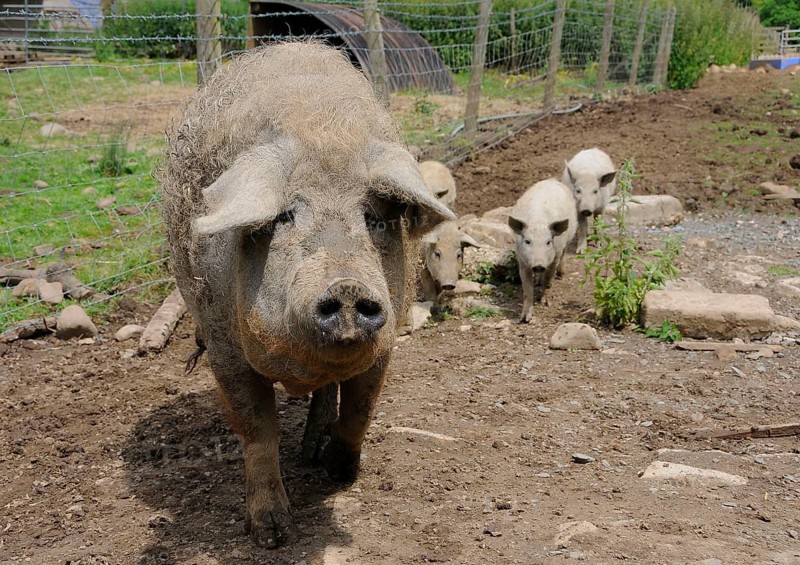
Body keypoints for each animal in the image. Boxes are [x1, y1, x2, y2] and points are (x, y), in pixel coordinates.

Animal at [158, 43, 454, 548]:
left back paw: (313, 451)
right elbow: (258, 430)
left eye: (374, 218)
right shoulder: (222, 348)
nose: (347, 285)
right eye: (284, 217)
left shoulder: (386, 341)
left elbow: (361, 407)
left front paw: (340, 474)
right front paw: (272, 535)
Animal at [508, 179, 577, 323]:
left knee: (564, 254)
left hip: (568, 238)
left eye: (548, 242)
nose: (539, 265)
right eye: (527, 241)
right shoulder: (522, 259)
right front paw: (524, 319)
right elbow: (527, 288)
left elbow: (549, 279)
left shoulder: (555, 255)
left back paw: (561, 274)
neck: (538, 221)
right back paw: (537, 281)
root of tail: (552, 180)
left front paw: (545, 303)